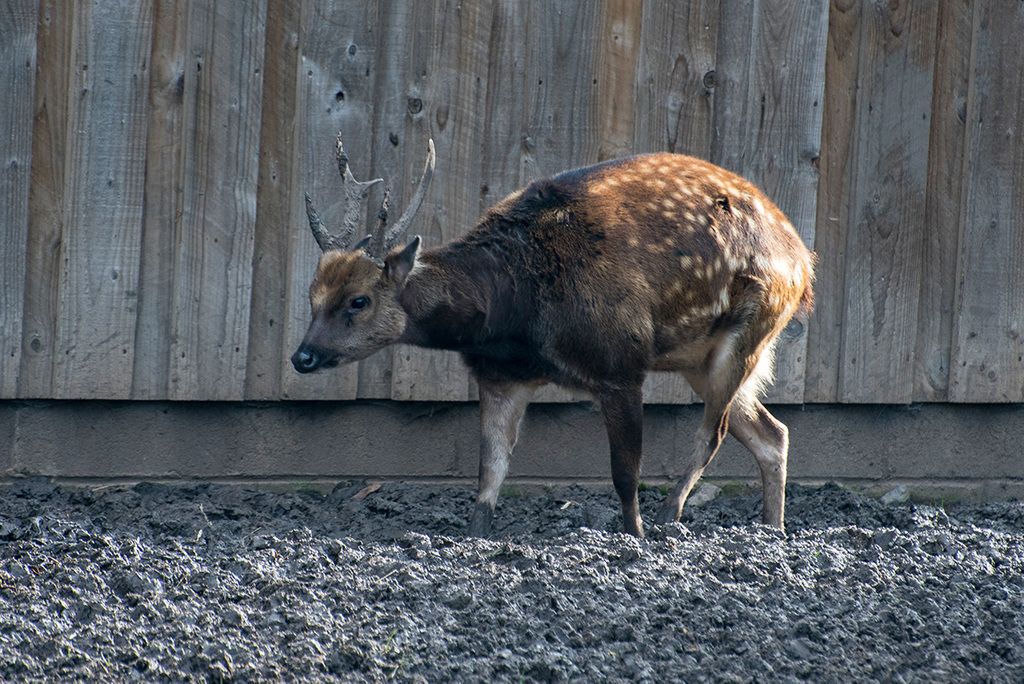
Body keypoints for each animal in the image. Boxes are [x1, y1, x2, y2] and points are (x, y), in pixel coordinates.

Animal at [292, 133, 811, 540]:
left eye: (359, 300)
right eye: (311, 295)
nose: (303, 357)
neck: (514, 318)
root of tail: (805, 262)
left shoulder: (619, 363)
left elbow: (625, 474)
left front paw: (635, 538)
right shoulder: (500, 376)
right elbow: (488, 477)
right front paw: (475, 538)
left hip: (752, 326)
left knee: (714, 430)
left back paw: (669, 518)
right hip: (697, 358)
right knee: (773, 433)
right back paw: (773, 532)